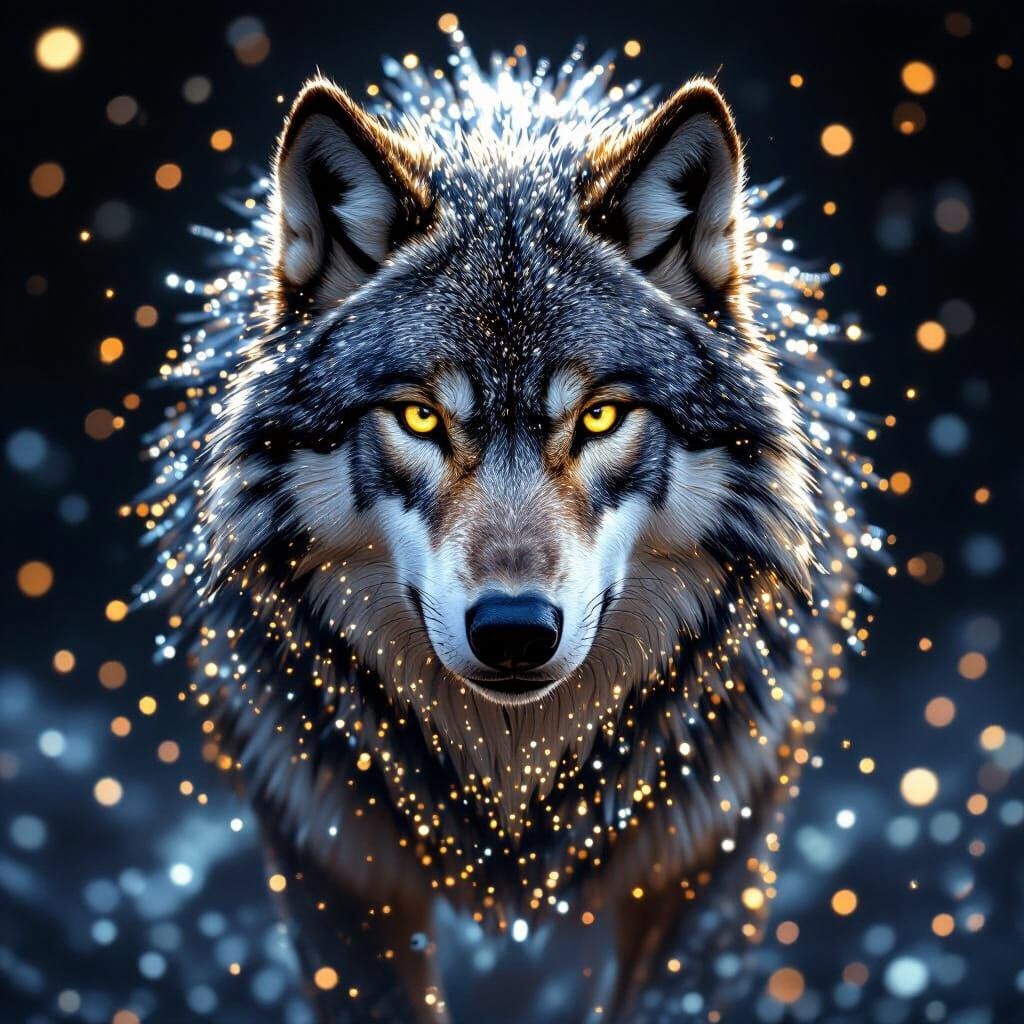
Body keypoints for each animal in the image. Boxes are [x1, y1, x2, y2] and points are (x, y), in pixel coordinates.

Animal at [145, 37, 868, 1024]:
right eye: (419, 417)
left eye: (600, 418)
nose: (515, 632)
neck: (513, 775)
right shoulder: (331, 866)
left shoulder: (713, 860)